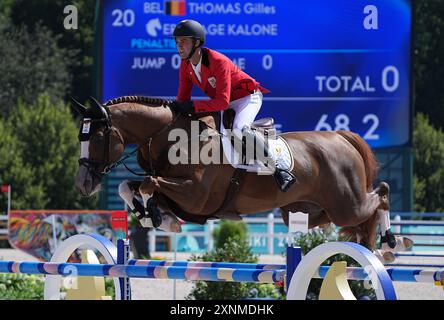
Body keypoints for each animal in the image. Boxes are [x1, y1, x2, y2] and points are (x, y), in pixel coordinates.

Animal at [73, 96, 412, 262]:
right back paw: (376, 248)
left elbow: (149, 184)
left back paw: (391, 243)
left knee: (381, 194)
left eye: (98, 137)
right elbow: (129, 186)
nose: (83, 184)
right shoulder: (185, 198)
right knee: (361, 216)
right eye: (80, 137)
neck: (173, 137)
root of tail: (341, 136)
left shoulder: (196, 196)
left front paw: (156, 216)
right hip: (309, 211)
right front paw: (154, 216)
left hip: (346, 204)